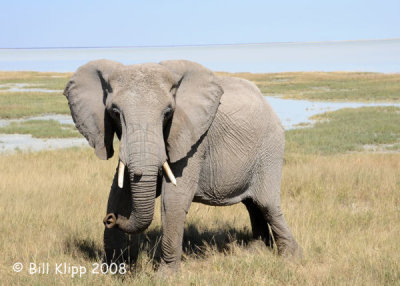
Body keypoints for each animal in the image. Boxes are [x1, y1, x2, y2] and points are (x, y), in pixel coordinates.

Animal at [63, 59, 300, 272]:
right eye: (114, 112)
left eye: (168, 113)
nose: (110, 219)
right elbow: (118, 193)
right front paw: (113, 269)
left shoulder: (193, 140)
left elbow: (173, 199)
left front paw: (165, 276)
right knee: (253, 205)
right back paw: (256, 251)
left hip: (270, 149)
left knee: (267, 204)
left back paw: (290, 257)